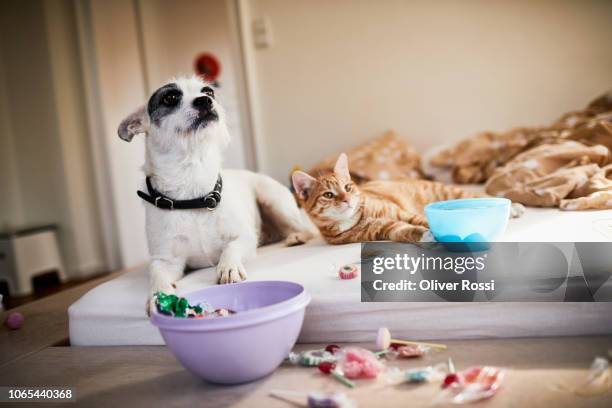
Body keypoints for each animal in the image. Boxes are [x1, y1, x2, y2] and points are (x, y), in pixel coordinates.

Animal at [117, 75, 314, 306]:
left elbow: (231, 248)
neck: (193, 192)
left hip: (274, 201)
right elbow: (156, 273)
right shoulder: (165, 260)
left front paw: (228, 267)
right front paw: (158, 293)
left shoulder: (245, 238)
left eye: (208, 91)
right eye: (170, 97)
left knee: (307, 229)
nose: (205, 100)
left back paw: (296, 236)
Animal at [292, 152, 482, 242]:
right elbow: (404, 231)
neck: (357, 219)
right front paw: (423, 235)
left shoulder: (402, 213)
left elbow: (422, 220)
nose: (347, 199)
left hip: (451, 193)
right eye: (328, 195)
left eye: (347, 187)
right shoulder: (385, 229)